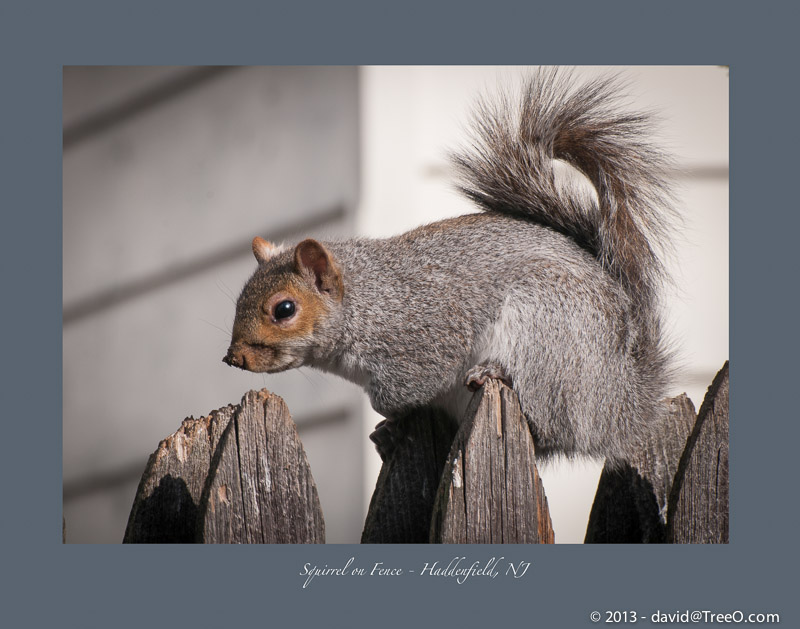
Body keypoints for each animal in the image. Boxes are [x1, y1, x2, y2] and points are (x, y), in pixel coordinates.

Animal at [223, 70, 676, 466]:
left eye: (284, 309)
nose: (233, 358)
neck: (367, 301)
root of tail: (619, 405)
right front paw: (385, 433)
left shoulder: (426, 335)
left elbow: (406, 386)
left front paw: (389, 414)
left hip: (548, 333)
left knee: (549, 423)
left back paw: (497, 372)